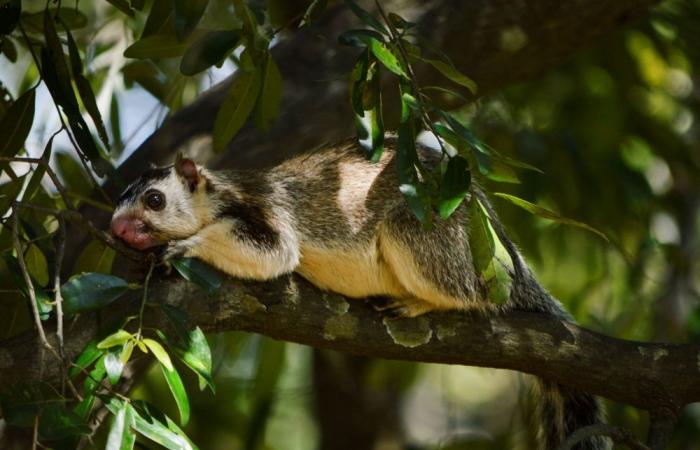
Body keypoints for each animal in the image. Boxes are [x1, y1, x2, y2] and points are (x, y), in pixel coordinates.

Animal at [112, 137, 608, 450]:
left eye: (154, 199)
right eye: (119, 198)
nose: (118, 229)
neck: (217, 195)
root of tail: (507, 260)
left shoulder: (264, 211)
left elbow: (274, 253)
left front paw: (183, 245)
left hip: (430, 239)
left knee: (474, 295)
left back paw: (419, 300)